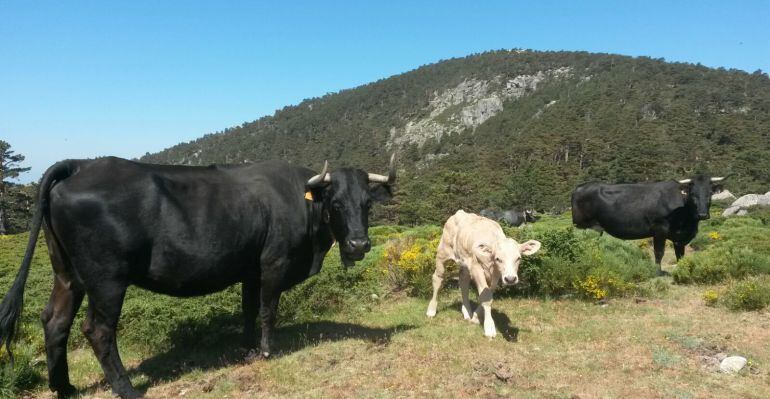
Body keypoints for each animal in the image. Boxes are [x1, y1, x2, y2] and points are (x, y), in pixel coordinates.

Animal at [0, 155, 396, 398]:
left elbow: (248, 311)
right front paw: (268, 351)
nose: (359, 244)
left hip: (67, 273)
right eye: (336, 203)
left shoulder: (250, 268)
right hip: (106, 279)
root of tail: (82, 163)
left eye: (368, 204)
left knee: (55, 321)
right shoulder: (274, 263)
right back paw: (127, 388)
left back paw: (63, 388)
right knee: (97, 330)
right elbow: (268, 310)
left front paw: (248, 348)